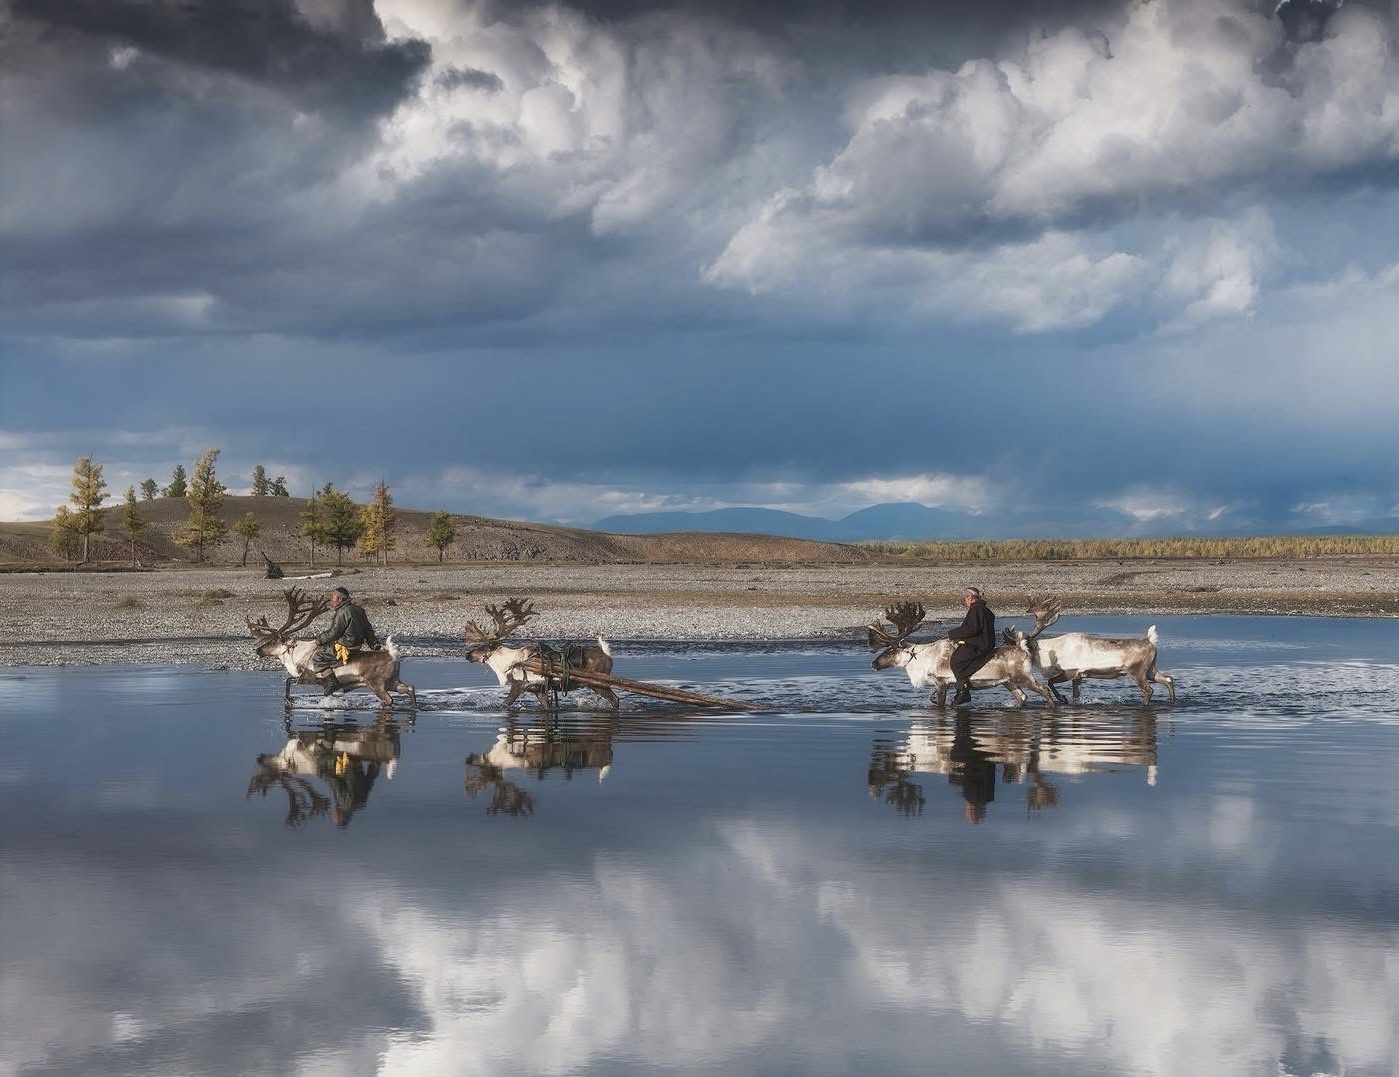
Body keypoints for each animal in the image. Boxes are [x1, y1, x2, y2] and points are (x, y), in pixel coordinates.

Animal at [247, 587, 417, 707]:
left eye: (272, 641)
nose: (258, 650)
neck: (296, 655)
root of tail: (392, 654)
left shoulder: (308, 677)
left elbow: (288, 682)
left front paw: (289, 700)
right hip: (393, 681)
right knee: (410, 688)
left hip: (377, 684)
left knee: (389, 700)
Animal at [464, 597, 620, 710]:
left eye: (482, 647)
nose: (467, 655)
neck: (508, 663)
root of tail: (606, 653)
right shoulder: (539, 691)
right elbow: (547, 707)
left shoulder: (518, 685)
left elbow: (505, 704)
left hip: (598, 684)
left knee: (615, 699)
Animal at [868, 600, 1056, 708]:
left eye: (891, 650)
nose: (873, 663)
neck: (922, 658)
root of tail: (1023, 649)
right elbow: (933, 698)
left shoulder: (941, 682)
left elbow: (940, 705)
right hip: (1008, 682)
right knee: (1022, 697)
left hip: (1023, 676)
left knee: (1044, 689)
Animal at [1011, 595, 1176, 704]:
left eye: (1021, 648)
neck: (1052, 651)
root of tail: (1150, 640)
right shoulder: (1078, 677)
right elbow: (1075, 695)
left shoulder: (1071, 671)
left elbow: (1051, 681)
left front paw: (1062, 698)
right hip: (1150, 670)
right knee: (1168, 679)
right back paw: (1172, 702)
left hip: (1137, 671)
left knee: (1148, 690)